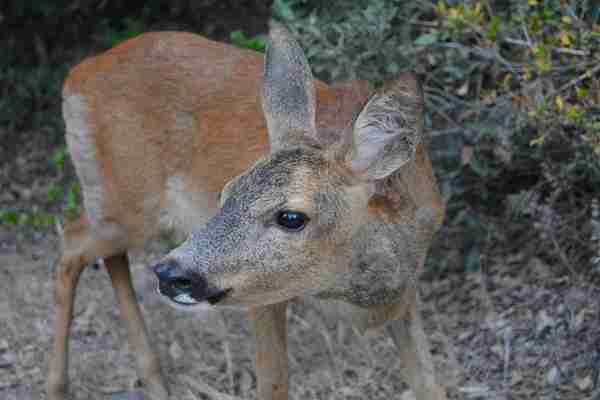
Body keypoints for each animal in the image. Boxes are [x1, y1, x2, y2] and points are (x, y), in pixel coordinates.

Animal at [49, 22, 448, 400]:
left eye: (291, 217)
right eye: (227, 193)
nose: (170, 274)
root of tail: (79, 74)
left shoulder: (407, 293)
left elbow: (430, 384)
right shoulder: (262, 294)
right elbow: (273, 385)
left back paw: (155, 380)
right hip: (126, 207)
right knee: (71, 243)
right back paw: (58, 387)